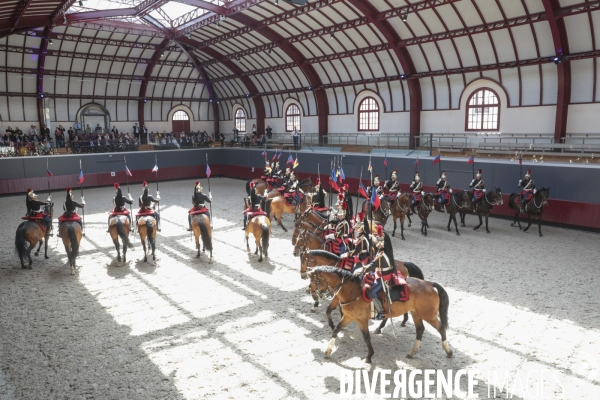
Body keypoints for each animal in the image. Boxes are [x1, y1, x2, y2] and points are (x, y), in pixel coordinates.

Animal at [312, 266, 452, 362]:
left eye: (315, 280)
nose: (315, 294)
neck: (353, 292)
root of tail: (429, 283)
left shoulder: (361, 320)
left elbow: (366, 337)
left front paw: (369, 356)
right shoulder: (348, 317)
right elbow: (336, 330)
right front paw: (328, 350)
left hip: (429, 315)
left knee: (441, 328)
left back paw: (448, 351)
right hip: (416, 313)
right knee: (420, 330)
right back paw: (412, 352)